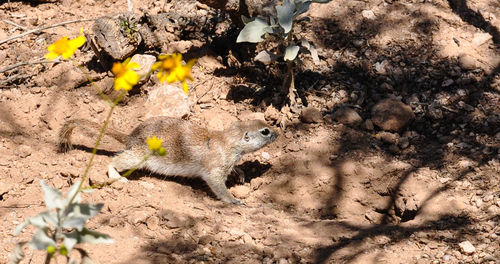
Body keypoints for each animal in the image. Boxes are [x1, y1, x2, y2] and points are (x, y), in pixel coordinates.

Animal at [59, 116, 278, 204]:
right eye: (265, 131)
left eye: (264, 124)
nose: (278, 133)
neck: (228, 141)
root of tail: (130, 137)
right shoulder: (215, 167)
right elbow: (217, 185)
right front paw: (234, 200)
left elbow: (233, 170)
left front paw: (240, 174)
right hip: (138, 157)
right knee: (115, 161)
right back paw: (118, 177)